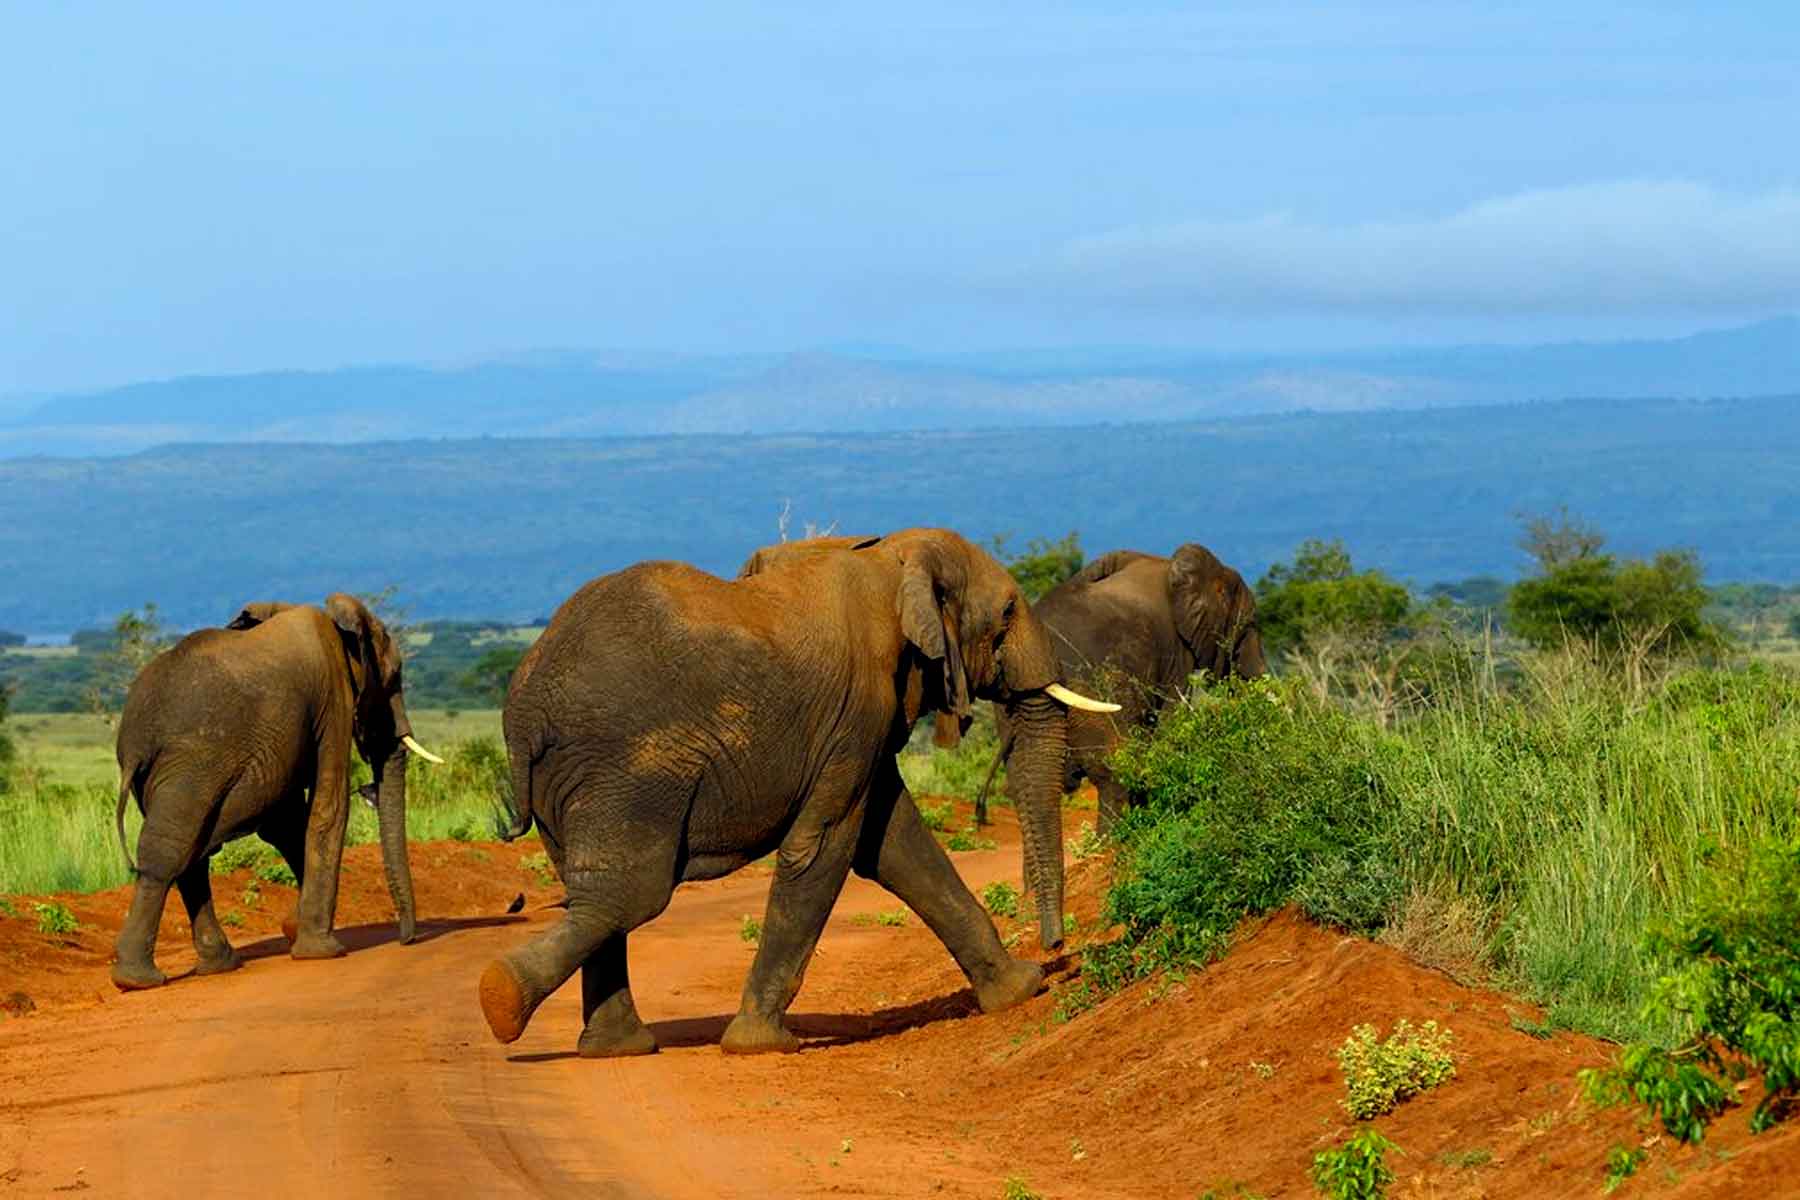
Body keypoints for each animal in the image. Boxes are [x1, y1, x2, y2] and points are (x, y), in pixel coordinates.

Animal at [109, 594, 443, 990]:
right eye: (394, 678)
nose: (407, 940)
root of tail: (136, 739)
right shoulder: (334, 698)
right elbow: (327, 809)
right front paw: (323, 950)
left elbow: (286, 825)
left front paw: (295, 928)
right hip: (195, 764)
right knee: (170, 853)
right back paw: (138, 980)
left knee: (191, 855)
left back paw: (217, 964)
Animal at [481, 528, 1118, 1057]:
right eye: (1008, 612)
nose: (1056, 949)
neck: (895, 556)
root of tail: (526, 709)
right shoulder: (857, 712)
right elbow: (823, 848)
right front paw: (759, 1046)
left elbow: (896, 847)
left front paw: (1018, 990)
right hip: (629, 768)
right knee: (627, 896)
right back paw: (503, 999)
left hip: (574, 780)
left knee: (594, 895)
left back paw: (612, 1047)